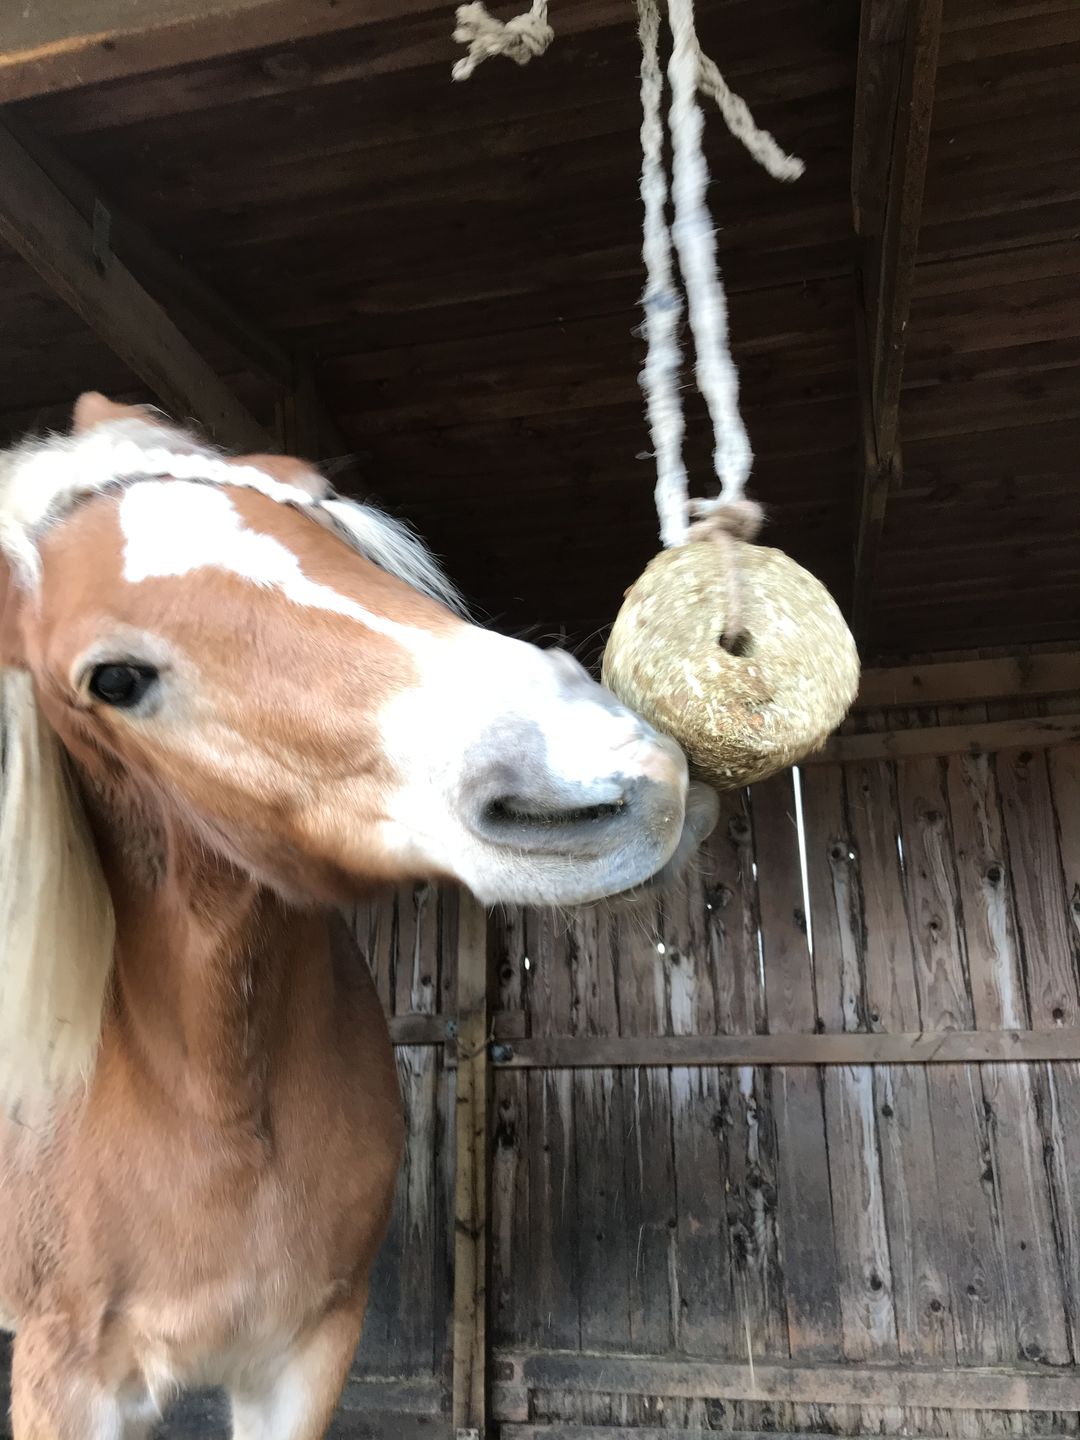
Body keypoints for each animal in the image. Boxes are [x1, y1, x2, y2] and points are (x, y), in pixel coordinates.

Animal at [0, 393, 717, 1438]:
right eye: (116, 681)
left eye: (307, 495)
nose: (614, 765)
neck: (211, 1103)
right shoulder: (68, 1378)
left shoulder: (308, 1350)